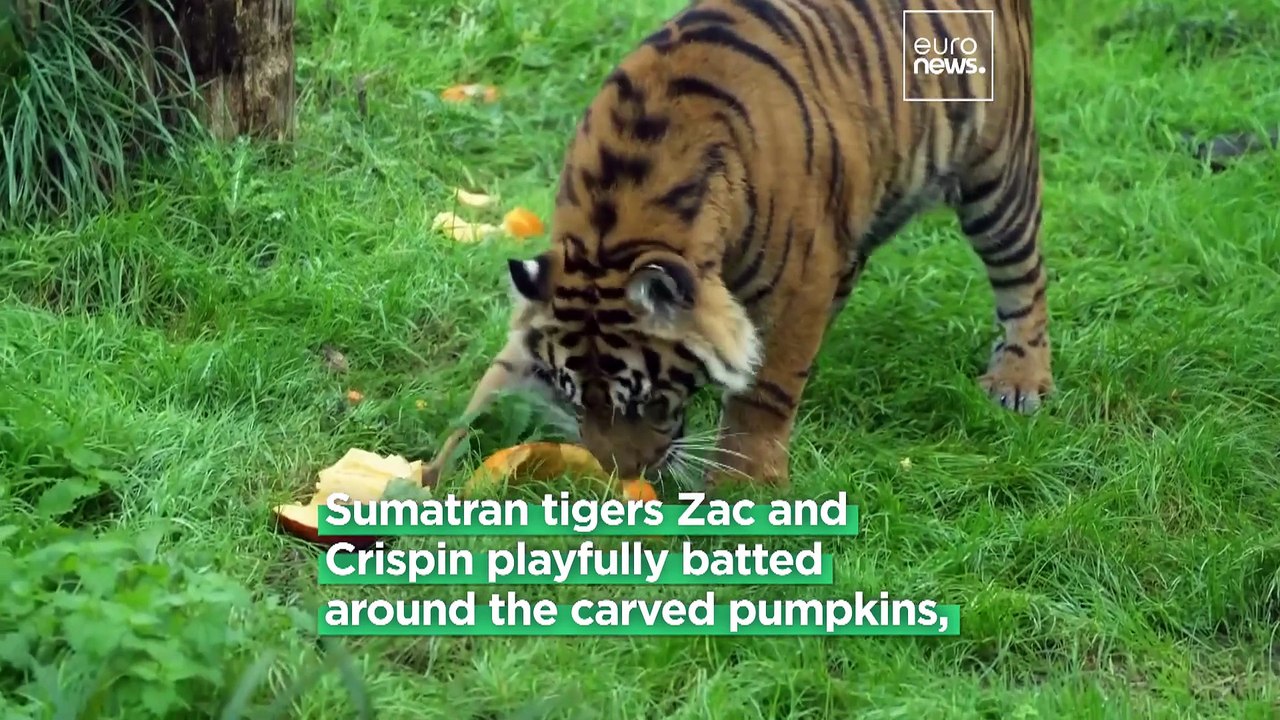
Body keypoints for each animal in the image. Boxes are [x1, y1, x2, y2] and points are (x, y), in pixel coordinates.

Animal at [422, 0, 1051, 491]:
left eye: (646, 402)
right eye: (575, 400)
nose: (623, 474)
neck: (618, 220)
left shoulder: (800, 283)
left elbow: (766, 388)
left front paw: (742, 484)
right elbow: (490, 386)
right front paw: (429, 477)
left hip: (1000, 175)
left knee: (1027, 278)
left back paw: (1019, 381)